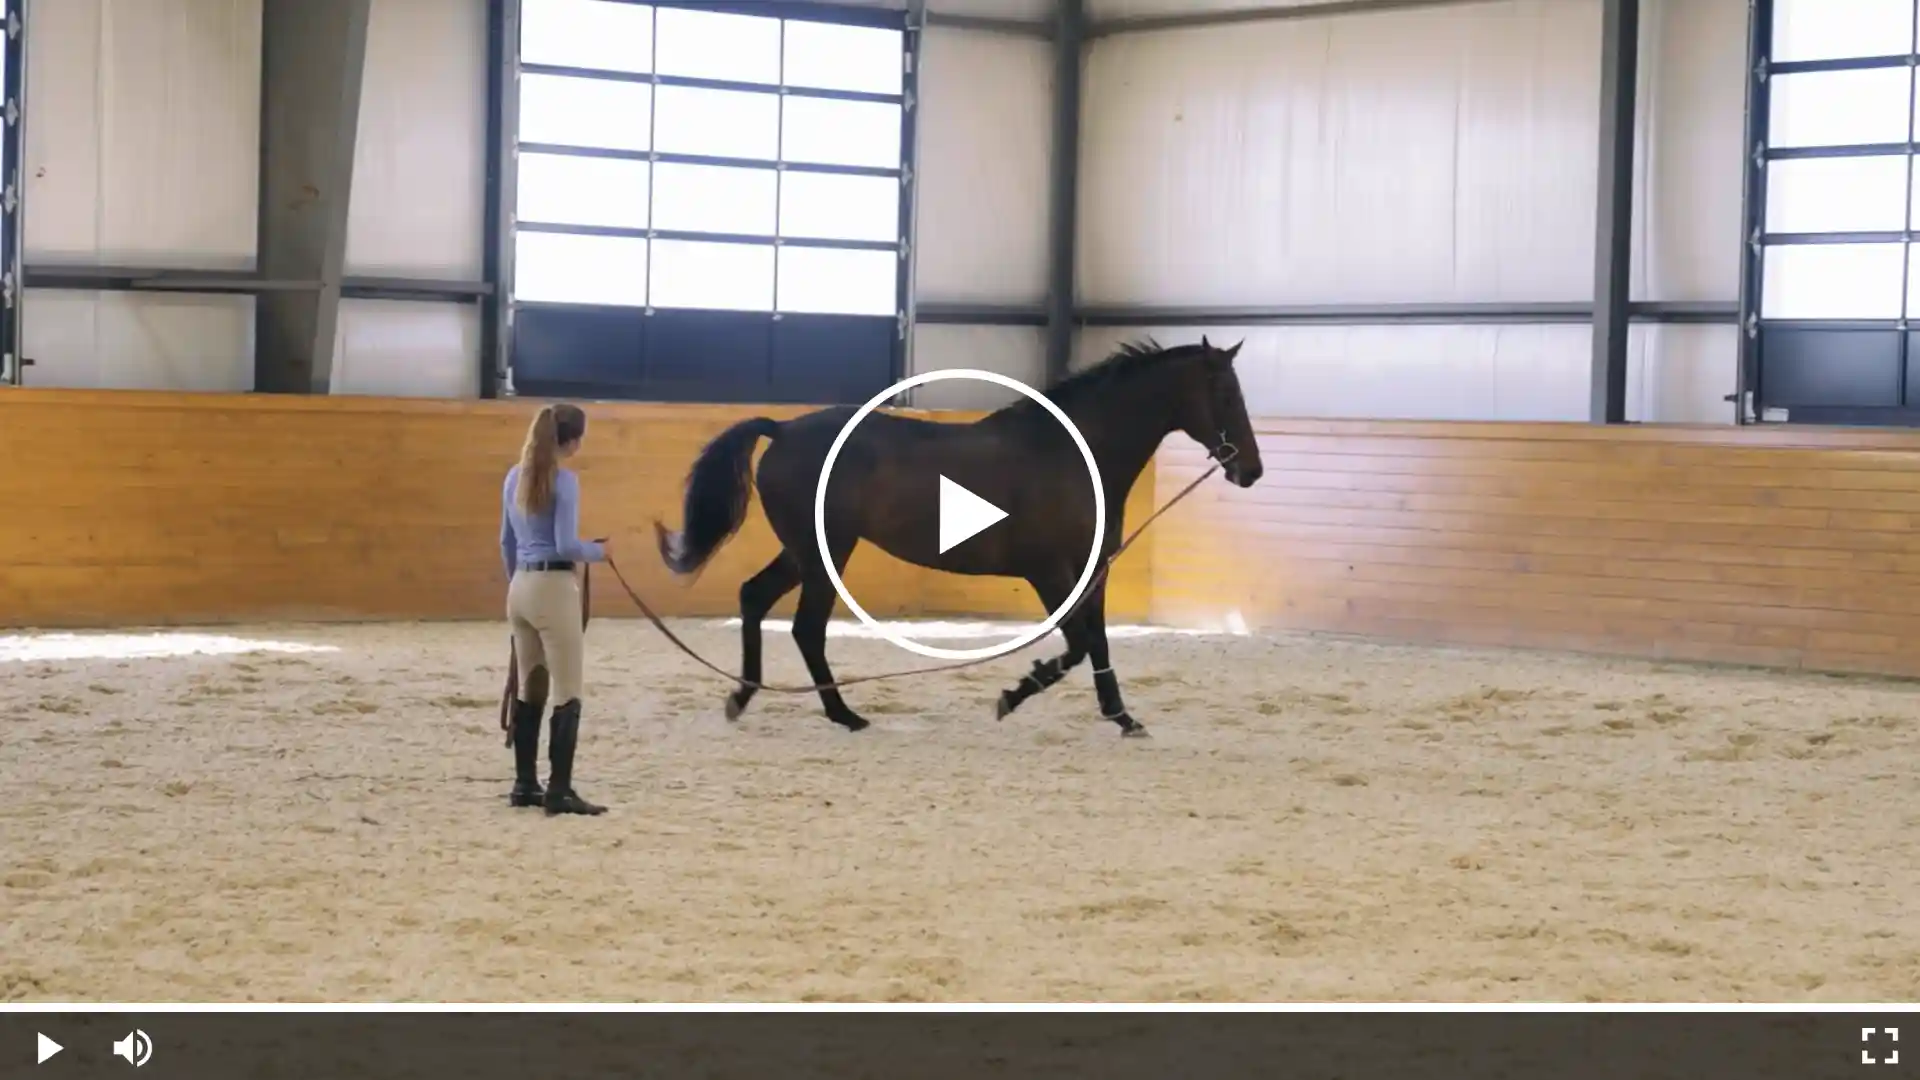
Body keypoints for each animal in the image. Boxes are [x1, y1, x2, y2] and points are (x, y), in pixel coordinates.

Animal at [652, 336, 1265, 737]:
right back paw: (844, 715)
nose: (1251, 471)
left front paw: (1121, 715)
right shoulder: (1050, 573)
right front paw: (1014, 694)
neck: (1070, 455)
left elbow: (1097, 641)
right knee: (806, 629)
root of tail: (781, 429)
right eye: (1226, 396)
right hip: (824, 554)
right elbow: (1075, 644)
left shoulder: (1093, 571)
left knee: (755, 598)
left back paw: (743, 696)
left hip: (804, 552)